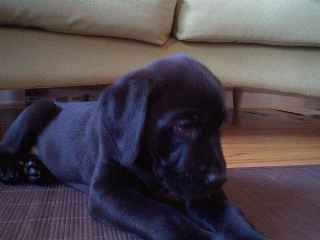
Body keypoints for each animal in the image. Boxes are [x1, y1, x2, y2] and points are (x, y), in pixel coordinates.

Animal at [0, 54, 264, 240]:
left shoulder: (205, 194)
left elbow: (232, 215)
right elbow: (164, 216)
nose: (219, 179)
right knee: (7, 147)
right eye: (184, 126)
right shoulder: (108, 191)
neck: (148, 161)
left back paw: (35, 169)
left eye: (220, 127)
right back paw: (12, 169)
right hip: (39, 107)